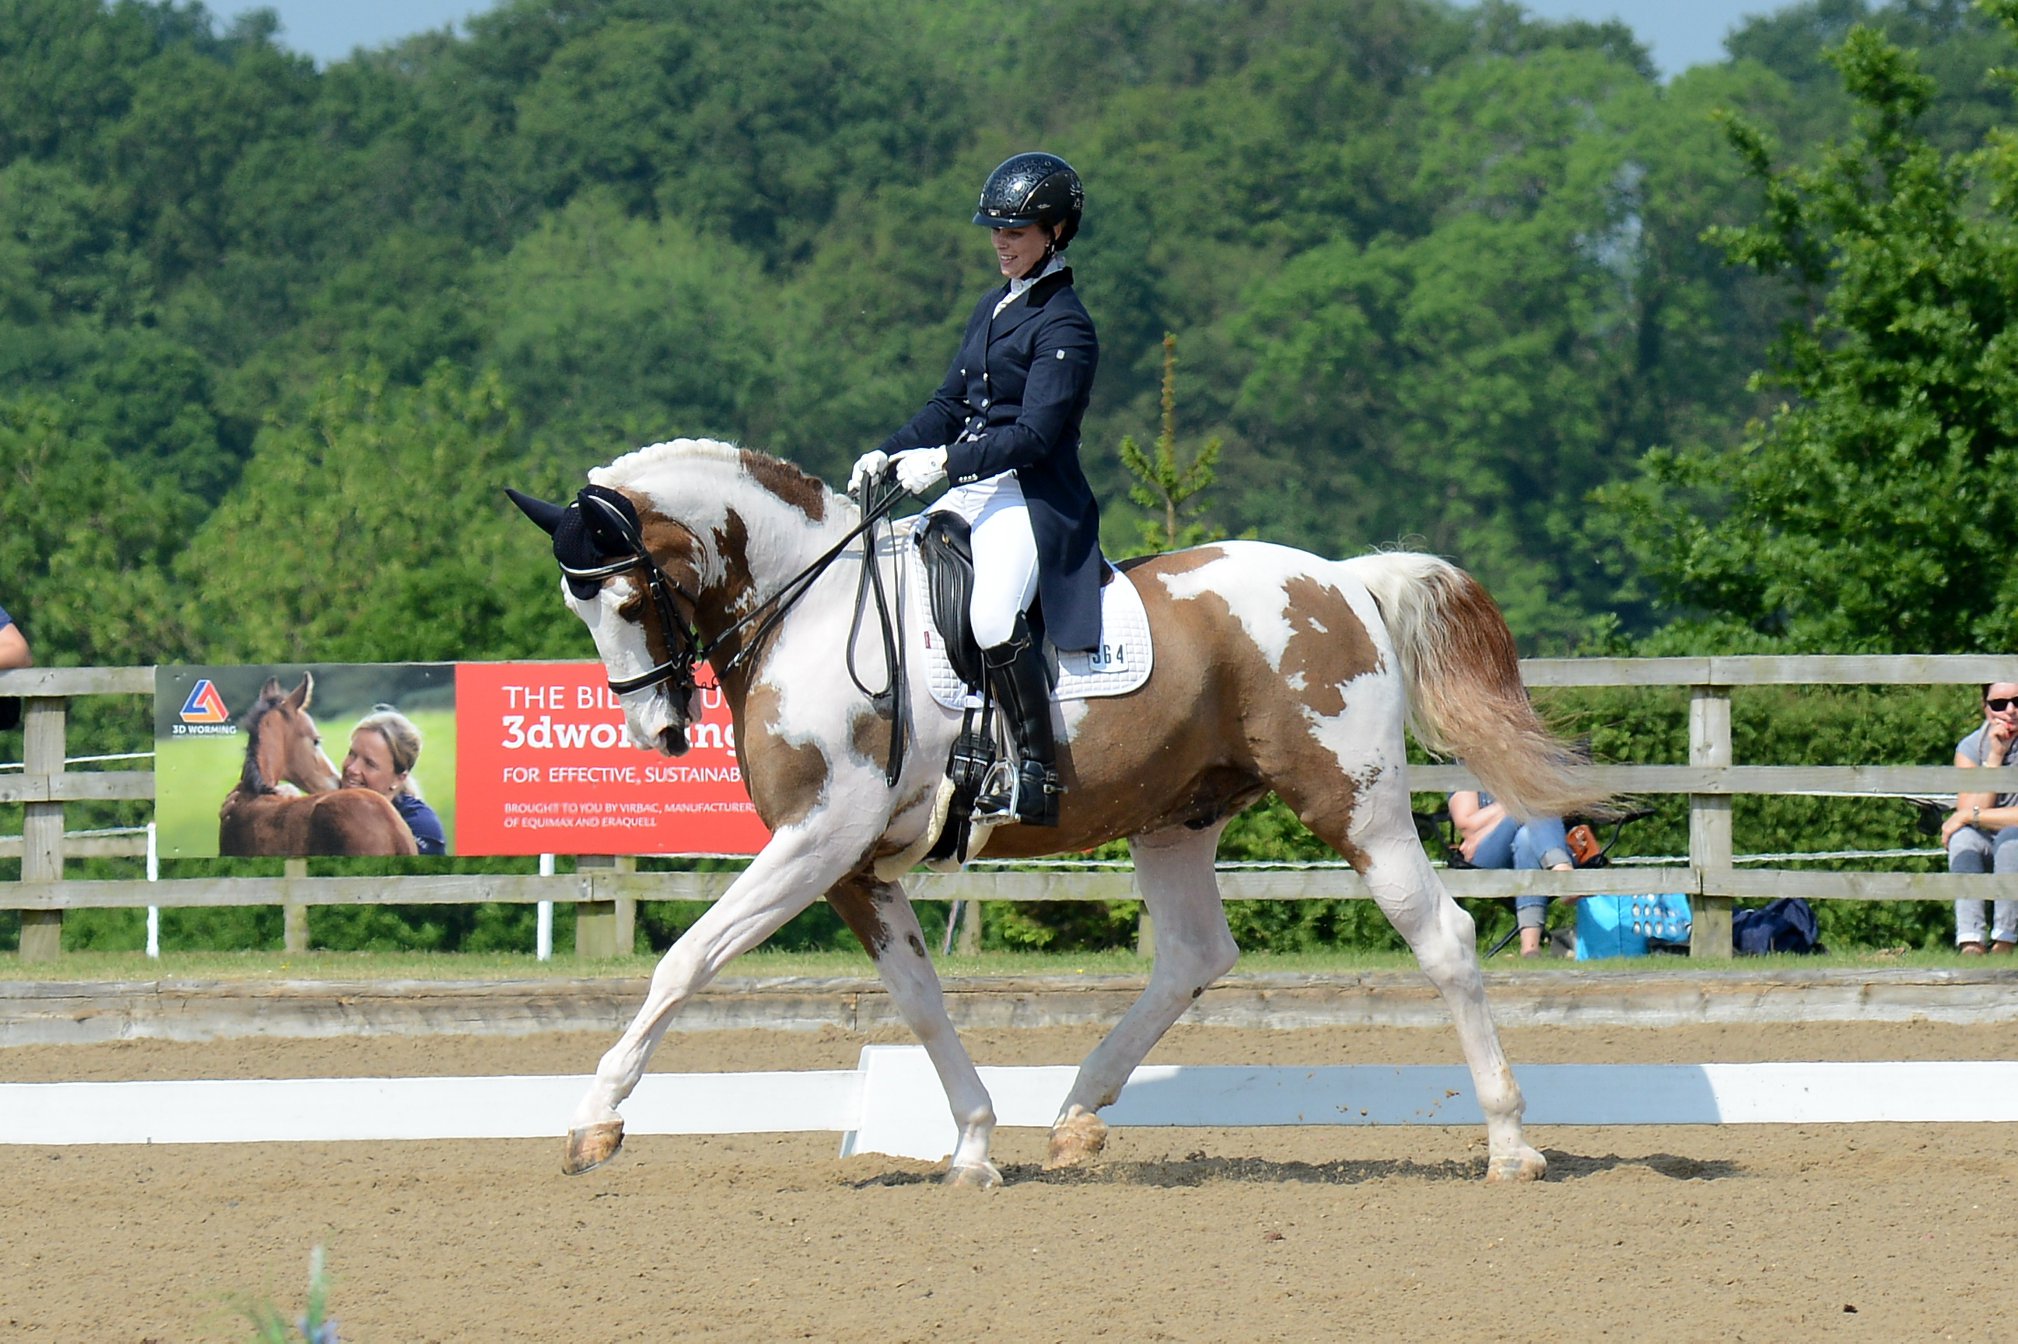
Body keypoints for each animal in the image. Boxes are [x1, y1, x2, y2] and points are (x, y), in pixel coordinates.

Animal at [508, 437, 1606, 1186]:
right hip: (1174, 818)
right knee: (1194, 955)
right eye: (577, 607)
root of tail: (1342, 579)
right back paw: (1077, 1113)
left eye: (622, 600)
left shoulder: (816, 840)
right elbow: (919, 1001)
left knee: (1442, 936)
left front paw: (594, 1122)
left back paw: (1510, 1141)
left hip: (1352, 800)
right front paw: (972, 1145)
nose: (655, 732)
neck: (810, 613)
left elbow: (687, 960)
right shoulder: (854, 866)